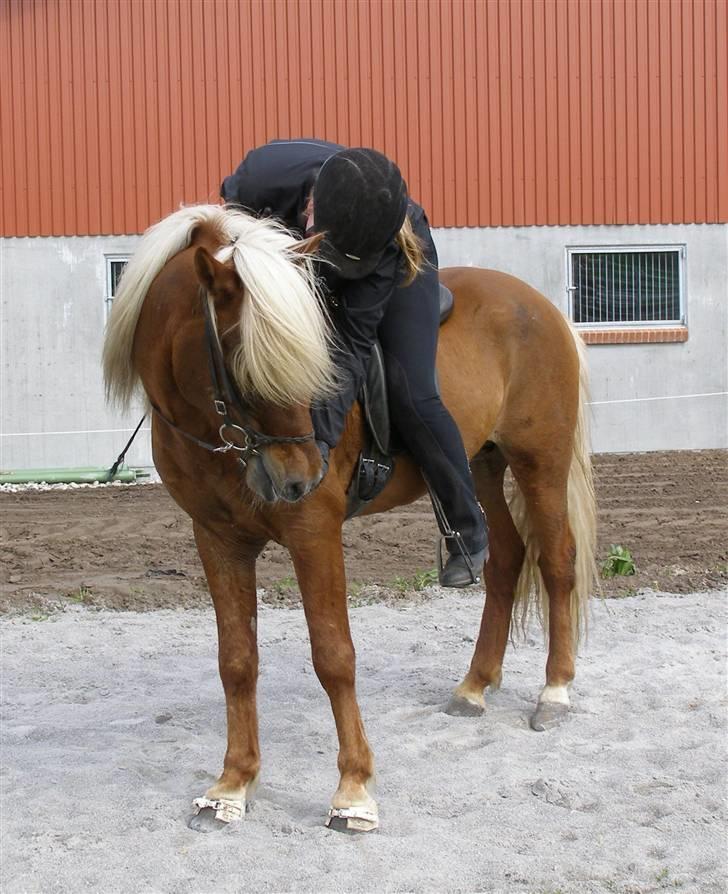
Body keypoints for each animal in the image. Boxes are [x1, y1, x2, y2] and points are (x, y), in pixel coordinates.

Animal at [102, 206, 596, 836]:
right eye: (239, 354)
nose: (298, 479)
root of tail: (545, 307)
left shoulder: (314, 532)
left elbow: (334, 656)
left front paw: (353, 791)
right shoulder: (217, 539)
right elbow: (236, 660)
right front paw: (232, 785)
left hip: (540, 463)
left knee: (557, 561)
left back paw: (554, 692)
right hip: (481, 465)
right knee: (505, 560)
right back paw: (474, 686)